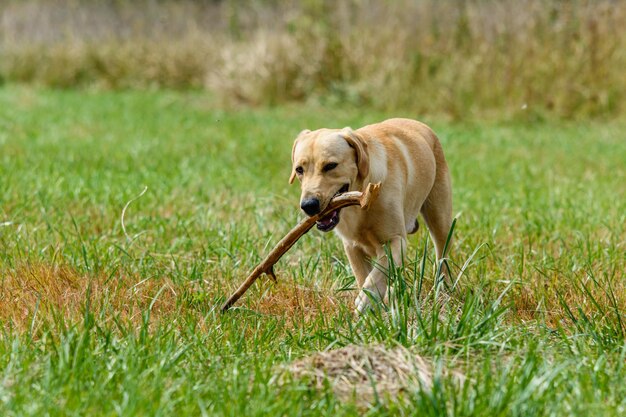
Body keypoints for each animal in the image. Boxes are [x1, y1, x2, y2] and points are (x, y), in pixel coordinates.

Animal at [290, 117, 450, 312]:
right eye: (299, 169)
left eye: (330, 166)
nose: (309, 205)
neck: (360, 203)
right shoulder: (351, 247)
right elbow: (363, 276)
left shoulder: (396, 240)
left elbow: (379, 271)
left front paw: (367, 299)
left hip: (440, 217)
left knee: (442, 254)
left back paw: (443, 290)